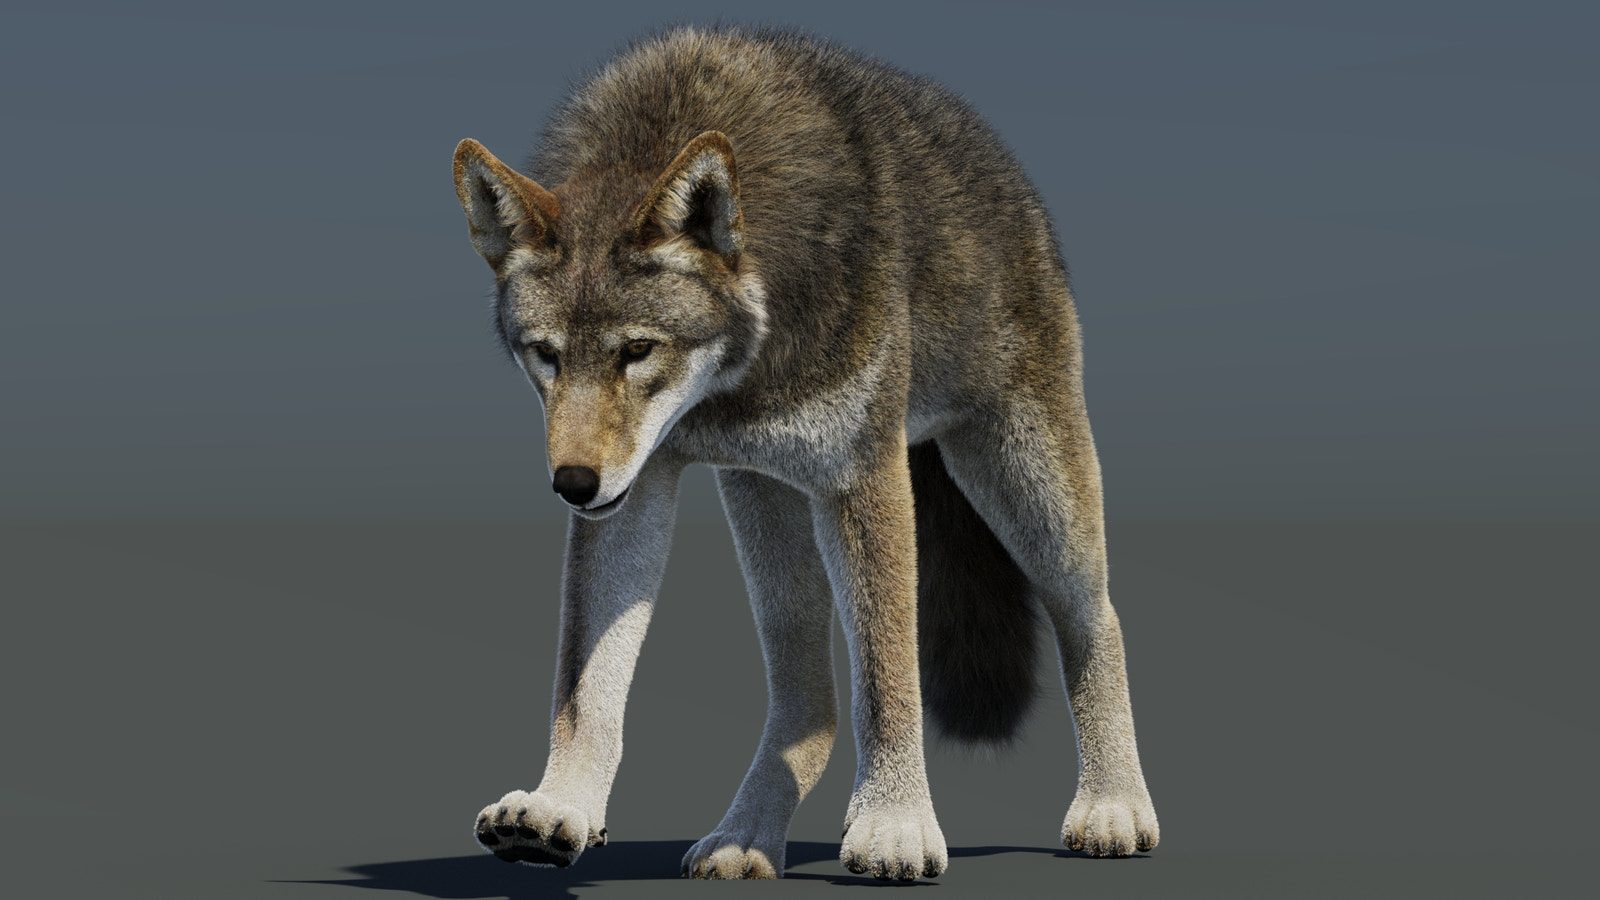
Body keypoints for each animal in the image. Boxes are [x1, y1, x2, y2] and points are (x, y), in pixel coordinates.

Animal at [451, 26, 1157, 881]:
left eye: (638, 351)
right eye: (548, 356)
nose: (573, 484)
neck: (739, 378)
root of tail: (1009, 173)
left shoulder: (865, 477)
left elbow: (888, 679)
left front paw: (893, 825)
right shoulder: (637, 489)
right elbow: (585, 689)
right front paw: (559, 808)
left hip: (1023, 486)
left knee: (1099, 618)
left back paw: (1113, 808)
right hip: (767, 504)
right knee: (810, 704)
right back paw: (746, 835)